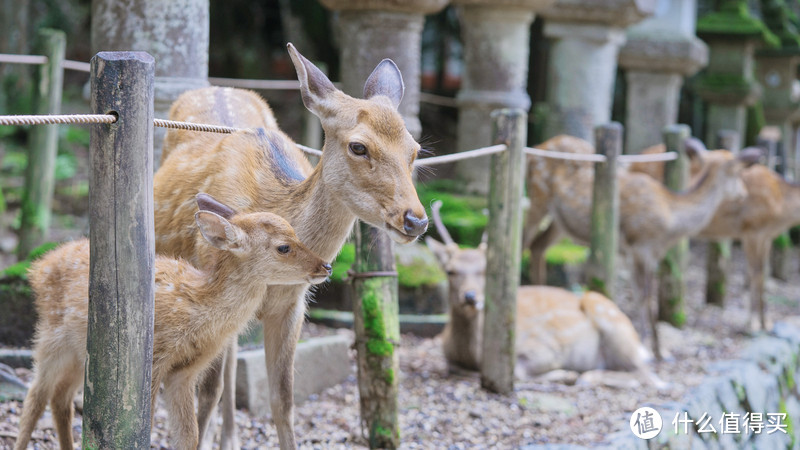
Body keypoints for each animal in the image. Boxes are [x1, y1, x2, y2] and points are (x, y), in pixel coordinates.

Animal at [13, 193, 332, 450]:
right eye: (283, 247)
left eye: (296, 234)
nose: (326, 266)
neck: (199, 309)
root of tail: (38, 267)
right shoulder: (154, 360)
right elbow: (144, 427)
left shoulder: (186, 371)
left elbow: (189, 435)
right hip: (52, 336)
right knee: (35, 395)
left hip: (83, 355)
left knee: (61, 397)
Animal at [150, 43, 424, 450]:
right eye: (358, 146)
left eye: (415, 149)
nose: (416, 220)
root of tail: (218, 85)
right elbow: (207, 394)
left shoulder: (293, 306)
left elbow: (283, 400)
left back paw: (230, 438)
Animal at [424, 202, 656, 382]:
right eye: (450, 270)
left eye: (486, 270)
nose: (470, 297)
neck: (472, 355)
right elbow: (454, 367)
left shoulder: (543, 349)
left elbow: (519, 372)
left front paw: (564, 374)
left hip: (606, 313)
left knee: (645, 372)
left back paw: (585, 376)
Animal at [520, 134, 760, 358]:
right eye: (738, 173)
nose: (744, 194)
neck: (671, 220)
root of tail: (537, 148)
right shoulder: (640, 245)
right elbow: (643, 295)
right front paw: (645, 345)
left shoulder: (649, 253)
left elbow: (645, 293)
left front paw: (660, 350)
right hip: (537, 197)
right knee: (522, 242)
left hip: (560, 222)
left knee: (538, 246)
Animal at [628, 144, 800, 330]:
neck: (780, 203)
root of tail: (632, 163)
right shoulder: (751, 230)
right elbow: (756, 273)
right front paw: (754, 324)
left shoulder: (766, 235)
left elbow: (759, 273)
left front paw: (764, 322)